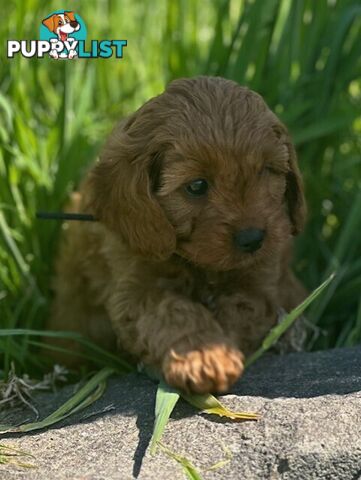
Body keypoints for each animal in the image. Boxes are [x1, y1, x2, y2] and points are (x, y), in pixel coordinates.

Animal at [49, 77, 306, 394]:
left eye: (266, 171)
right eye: (197, 186)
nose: (253, 238)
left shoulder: (260, 285)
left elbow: (240, 308)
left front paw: (213, 351)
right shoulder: (135, 287)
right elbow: (174, 309)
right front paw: (205, 356)